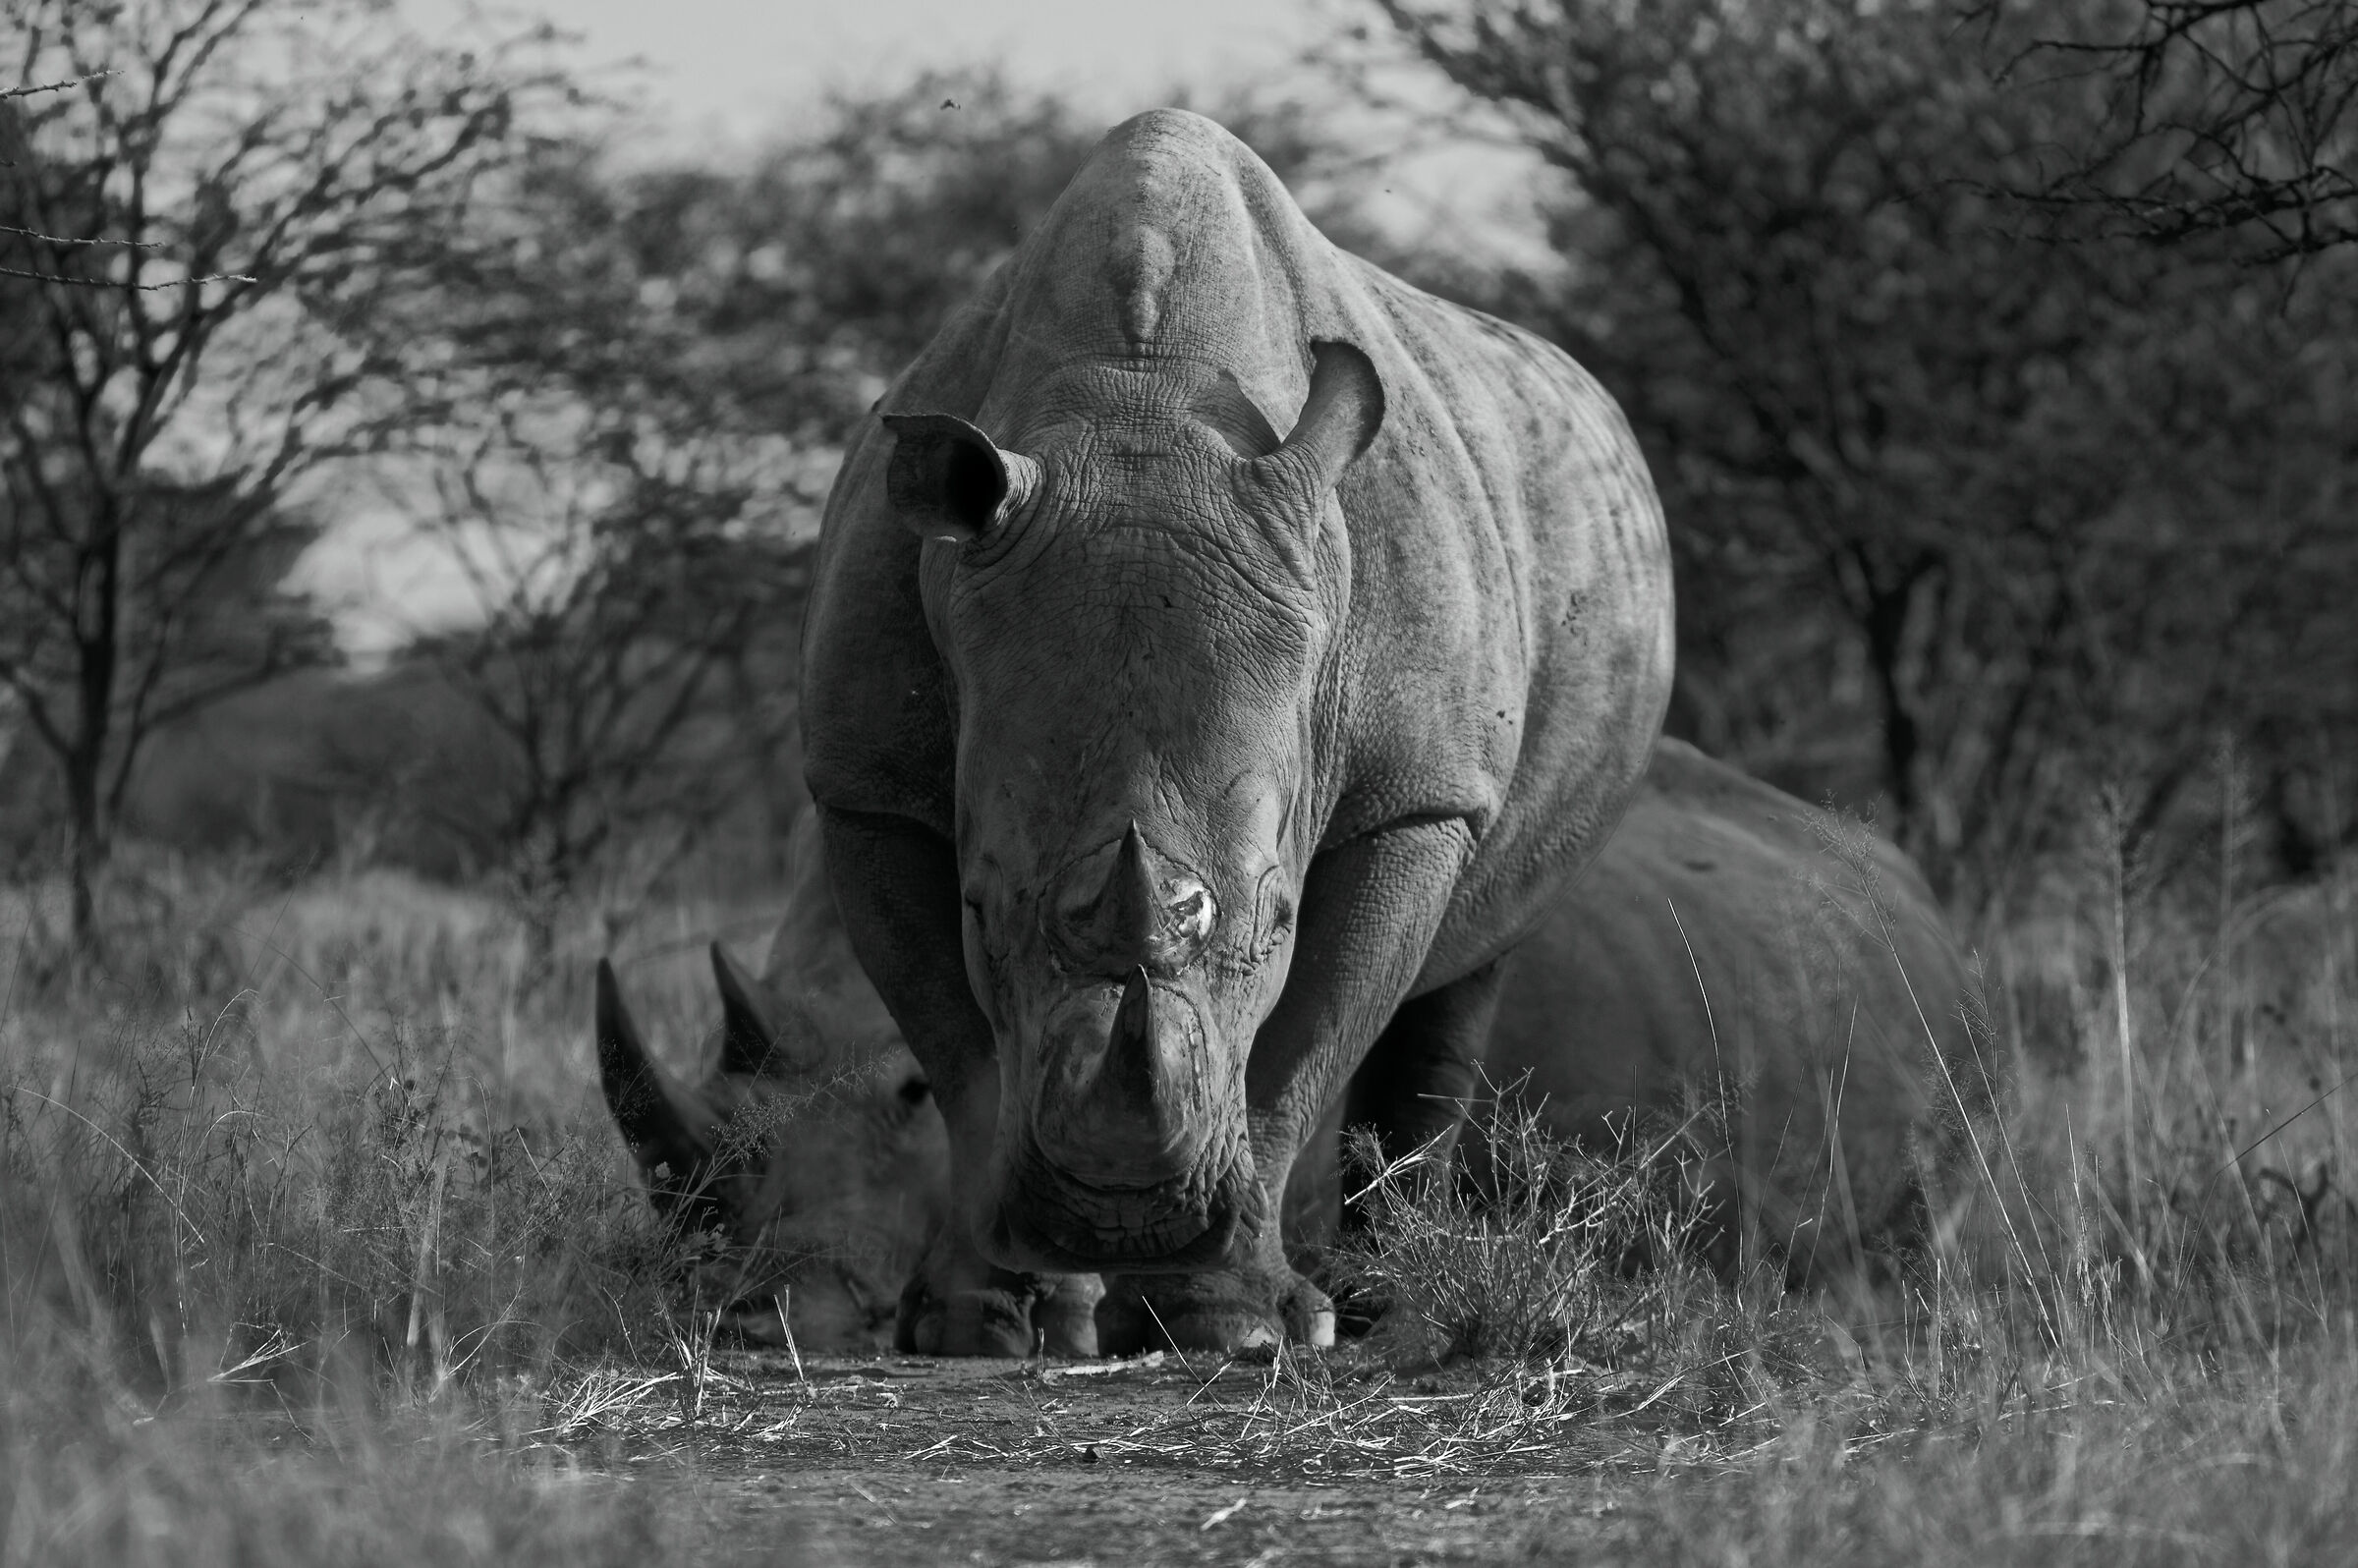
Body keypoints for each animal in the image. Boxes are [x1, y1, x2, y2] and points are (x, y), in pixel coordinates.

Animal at [785, 108, 1677, 1352]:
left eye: (1278, 915)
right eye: (982, 908)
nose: (1122, 1222)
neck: (1141, 395)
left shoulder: (1415, 792)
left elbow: (1302, 1044)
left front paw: (1236, 1327)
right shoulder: (866, 783)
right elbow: (957, 1052)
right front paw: (985, 1318)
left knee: (1469, 967)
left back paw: (1379, 1306)